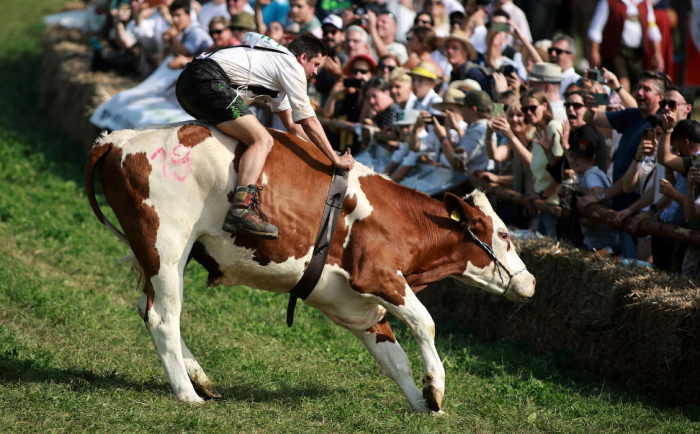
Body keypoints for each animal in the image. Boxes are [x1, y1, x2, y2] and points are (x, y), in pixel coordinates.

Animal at [87, 122, 536, 414]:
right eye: (504, 233)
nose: (531, 282)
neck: (399, 219)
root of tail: (118, 138)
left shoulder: (355, 305)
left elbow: (393, 359)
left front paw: (422, 405)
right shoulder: (378, 275)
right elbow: (426, 323)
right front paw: (436, 389)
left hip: (161, 255)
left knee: (150, 311)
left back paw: (202, 380)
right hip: (165, 246)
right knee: (164, 318)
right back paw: (187, 394)